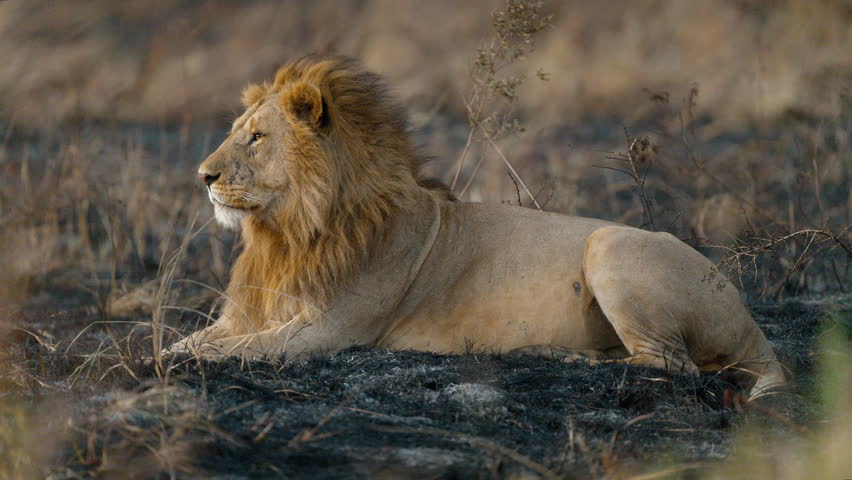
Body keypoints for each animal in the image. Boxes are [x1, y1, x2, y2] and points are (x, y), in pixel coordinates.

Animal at [168, 55, 785, 399]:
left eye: (255, 137)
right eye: (236, 130)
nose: (202, 176)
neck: (288, 232)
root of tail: (747, 315)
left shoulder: (330, 329)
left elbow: (234, 350)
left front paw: (175, 361)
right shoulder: (256, 311)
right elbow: (196, 339)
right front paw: (172, 348)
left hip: (610, 244)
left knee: (673, 365)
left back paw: (560, 357)